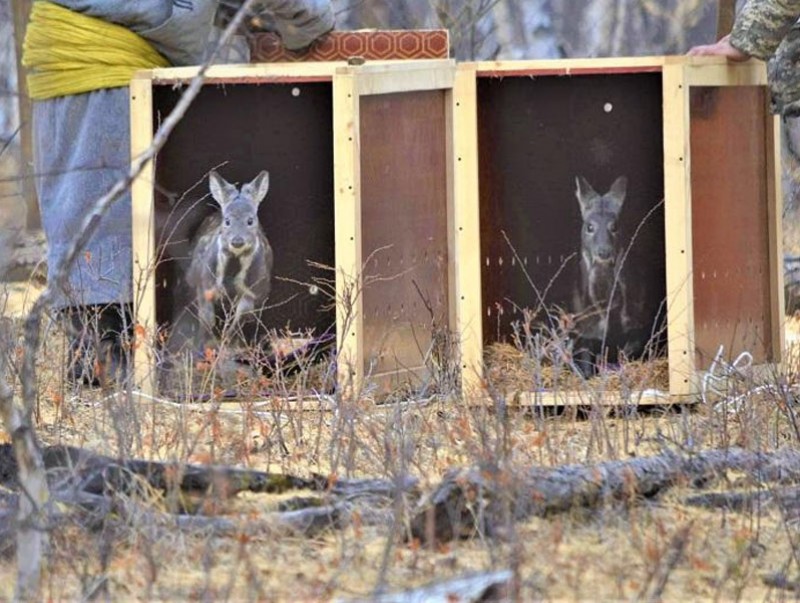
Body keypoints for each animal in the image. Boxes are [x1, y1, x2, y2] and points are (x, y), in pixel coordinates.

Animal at [568, 175, 644, 372]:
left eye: (615, 226)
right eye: (589, 226)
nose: (604, 252)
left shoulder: (639, 324)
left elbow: (624, 356)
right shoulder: (583, 331)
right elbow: (587, 367)